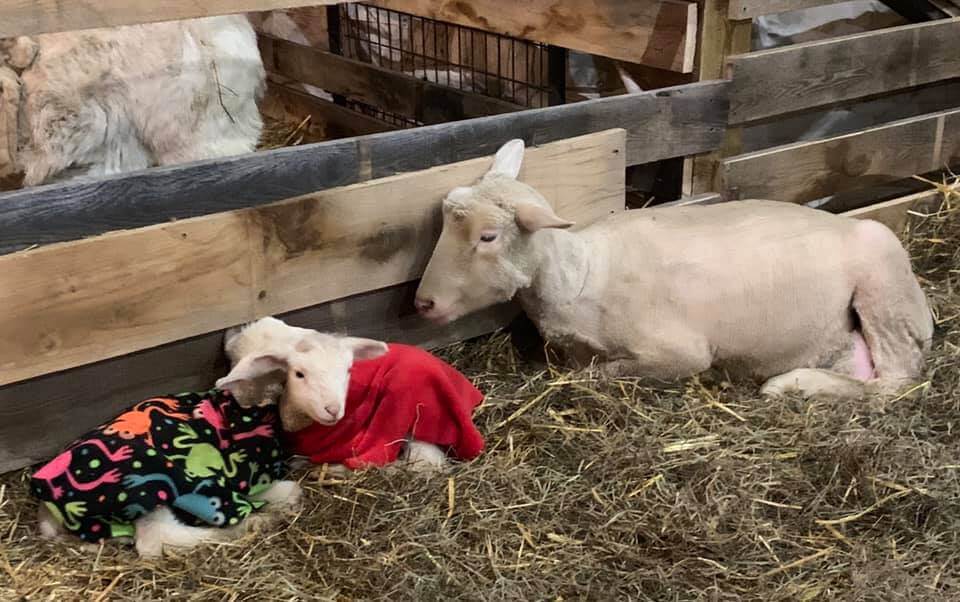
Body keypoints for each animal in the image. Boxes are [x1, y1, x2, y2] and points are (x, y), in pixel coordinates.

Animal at [416, 137, 932, 398]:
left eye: (488, 236)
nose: (423, 303)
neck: (580, 275)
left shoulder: (680, 352)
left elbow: (601, 374)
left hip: (884, 295)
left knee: (896, 381)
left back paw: (790, 385)